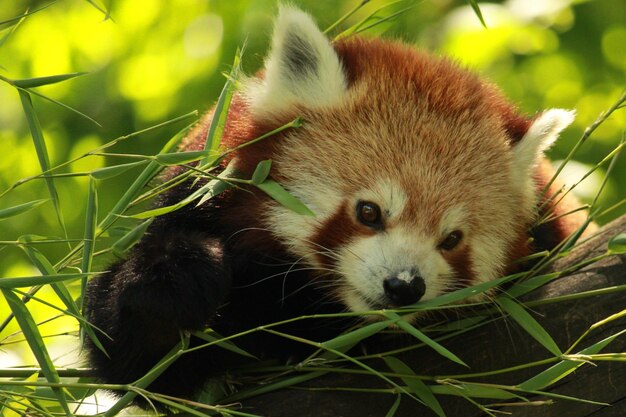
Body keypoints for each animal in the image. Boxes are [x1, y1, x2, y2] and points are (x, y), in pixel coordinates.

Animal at [83, 5, 584, 404]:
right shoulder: (193, 194)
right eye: (369, 211)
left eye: (452, 240)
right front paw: (179, 276)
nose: (404, 286)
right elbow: (135, 363)